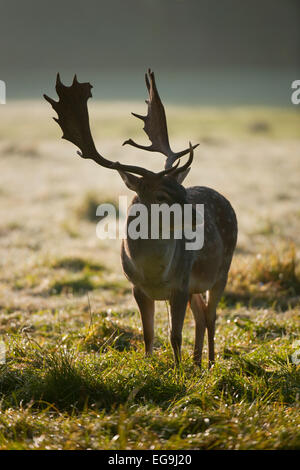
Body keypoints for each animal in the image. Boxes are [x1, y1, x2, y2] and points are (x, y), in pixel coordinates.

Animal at [44, 69, 237, 368]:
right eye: (160, 195)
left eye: (182, 190)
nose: (198, 216)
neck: (153, 275)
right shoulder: (137, 288)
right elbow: (148, 334)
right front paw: (150, 366)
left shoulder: (180, 285)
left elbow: (174, 335)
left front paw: (177, 370)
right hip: (199, 284)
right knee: (201, 315)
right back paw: (197, 363)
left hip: (223, 269)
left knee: (211, 315)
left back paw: (211, 363)